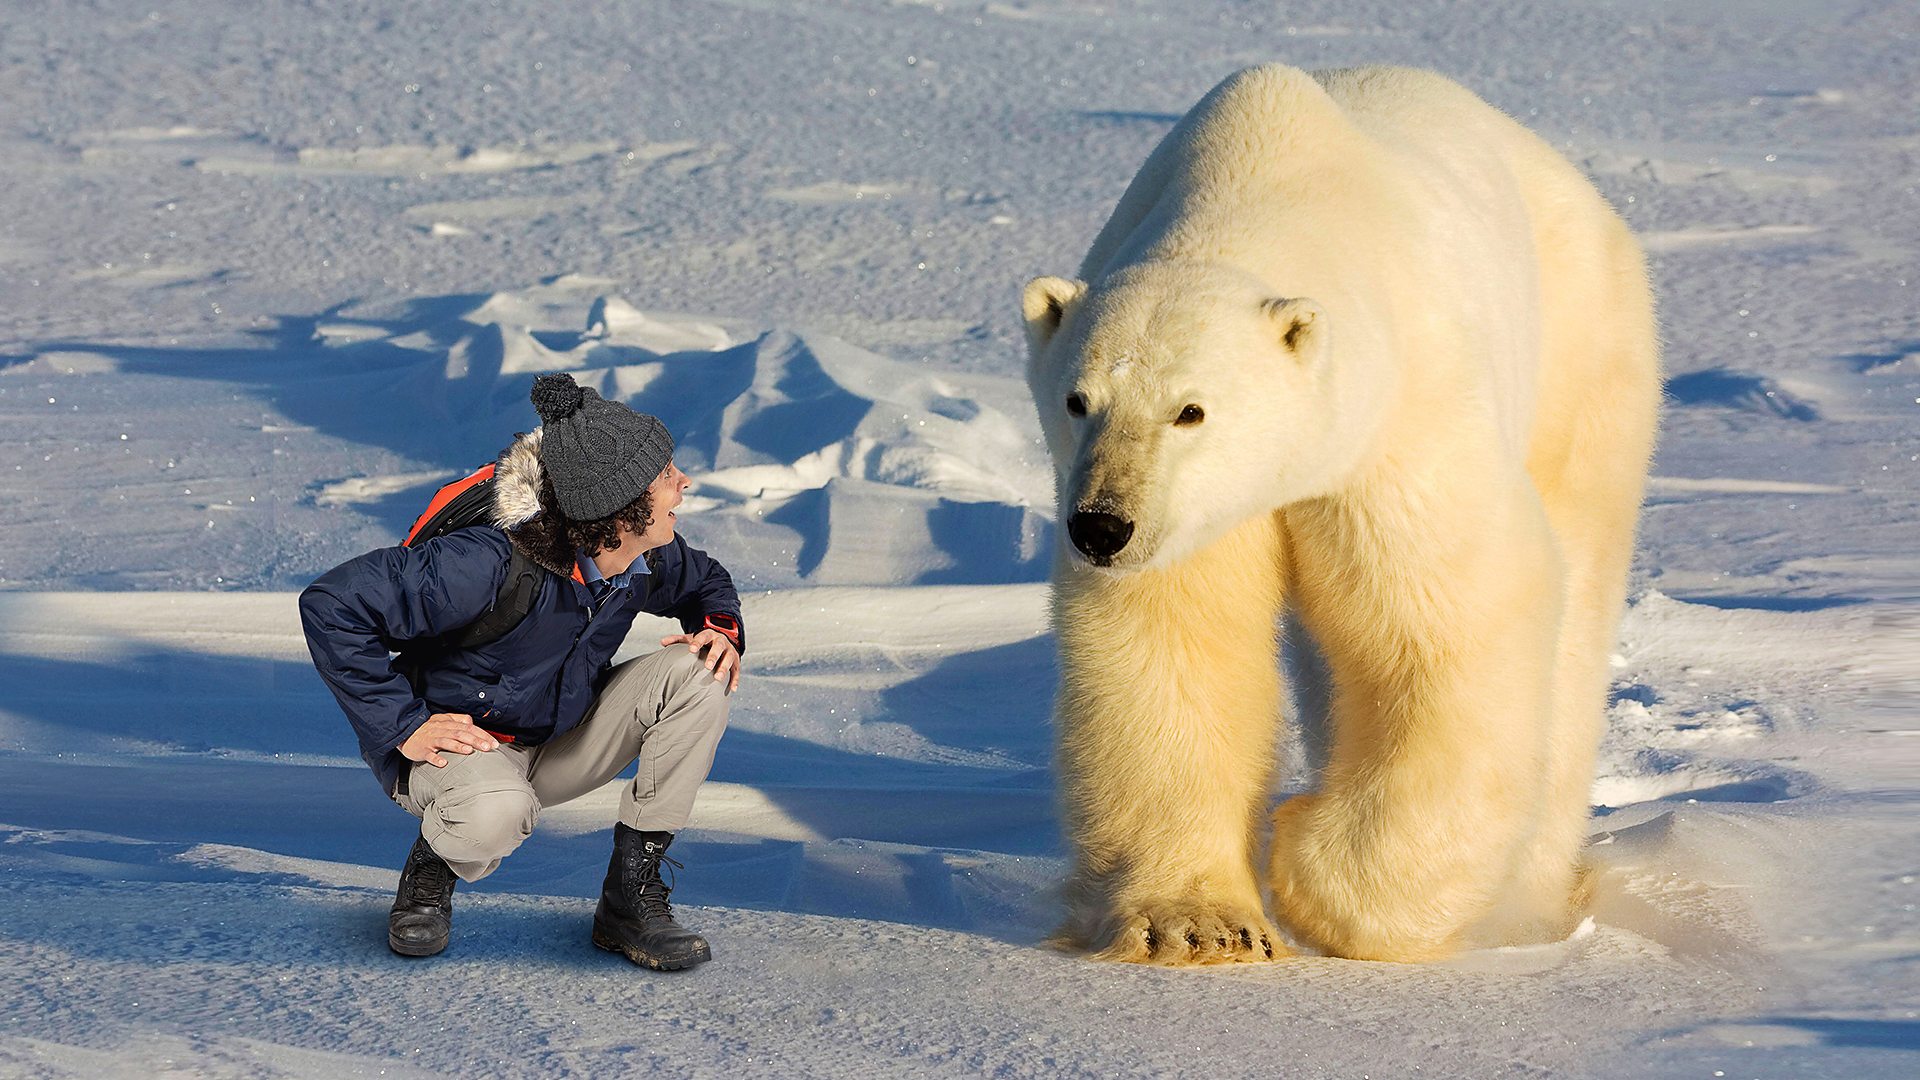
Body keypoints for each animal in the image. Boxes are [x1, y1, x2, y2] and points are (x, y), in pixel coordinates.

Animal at [1021, 67, 1666, 957]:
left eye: (1191, 410)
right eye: (1078, 400)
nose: (1101, 527)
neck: (1262, 191)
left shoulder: (1399, 423)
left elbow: (1442, 625)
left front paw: (1314, 868)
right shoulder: (1198, 516)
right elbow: (1175, 641)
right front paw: (1198, 926)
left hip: (1584, 358)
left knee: (1574, 597)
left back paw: (1529, 897)